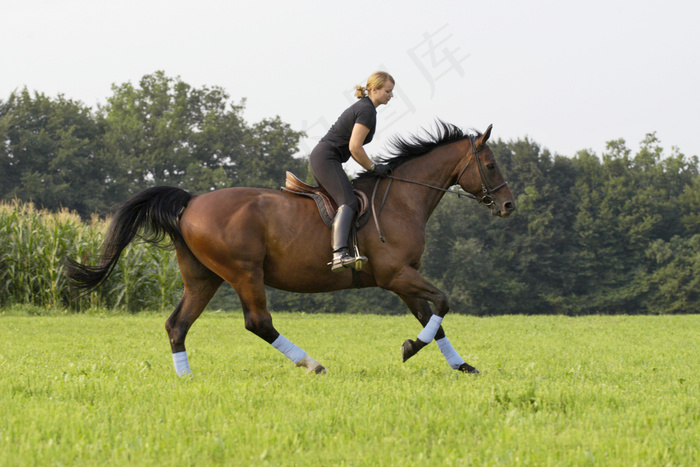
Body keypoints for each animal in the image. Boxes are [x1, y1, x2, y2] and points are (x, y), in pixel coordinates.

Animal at [65, 121, 516, 376]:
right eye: (491, 165)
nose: (509, 205)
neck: (403, 199)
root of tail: (190, 202)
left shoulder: (403, 279)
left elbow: (433, 317)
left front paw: (461, 365)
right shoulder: (396, 275)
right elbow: (442, 304)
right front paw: (410, 348)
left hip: (203, 277)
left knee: (177, 325)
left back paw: (185, 378)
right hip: (244, 272)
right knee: (258, 323)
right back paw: (313, 364)